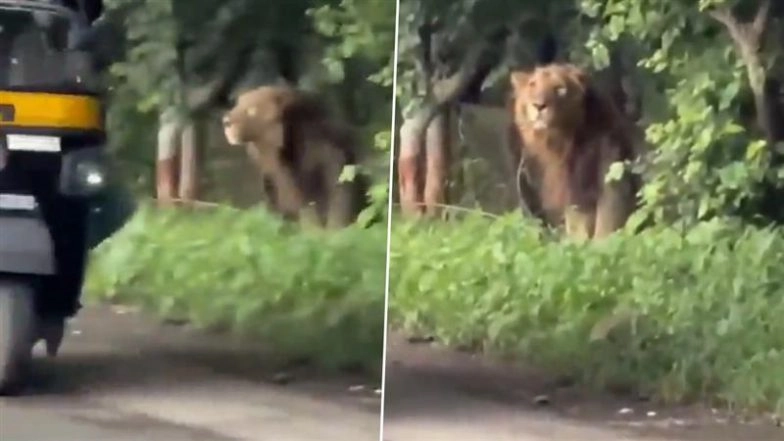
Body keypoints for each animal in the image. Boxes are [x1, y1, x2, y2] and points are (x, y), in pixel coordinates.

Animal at [508, 63, 640, 240]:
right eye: (532, 85)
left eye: (559, 89)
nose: (539, 106)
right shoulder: (567, 191)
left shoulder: (608, 175)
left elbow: (606, 220)